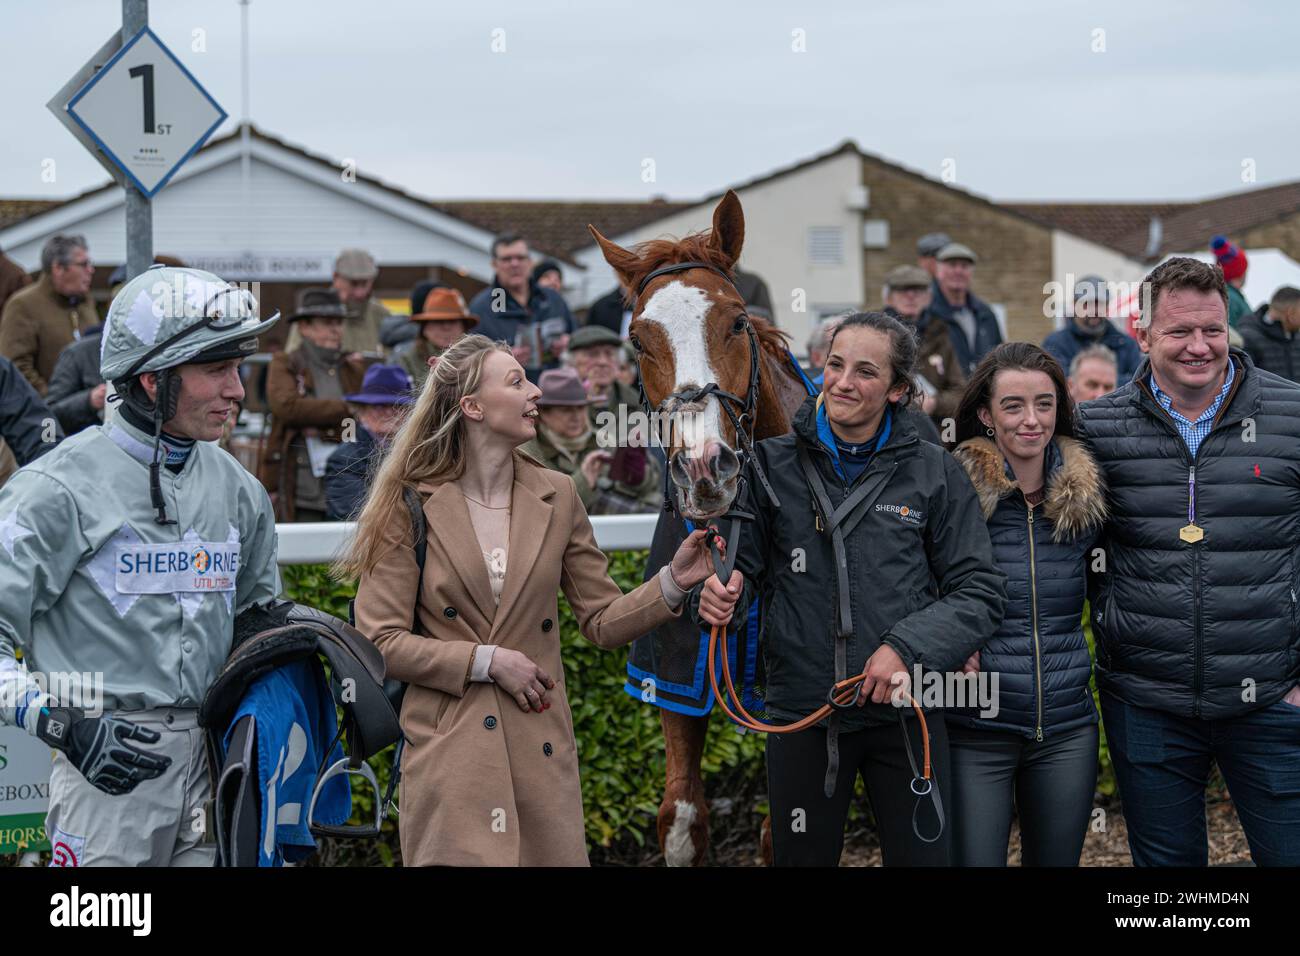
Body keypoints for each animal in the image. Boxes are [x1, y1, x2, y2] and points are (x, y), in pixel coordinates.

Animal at [590, 191, 811, 863]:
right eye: (638, 339)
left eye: (737, 322)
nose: (705, 467)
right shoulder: (675, 677)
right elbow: (681, 816)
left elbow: (779, 828)